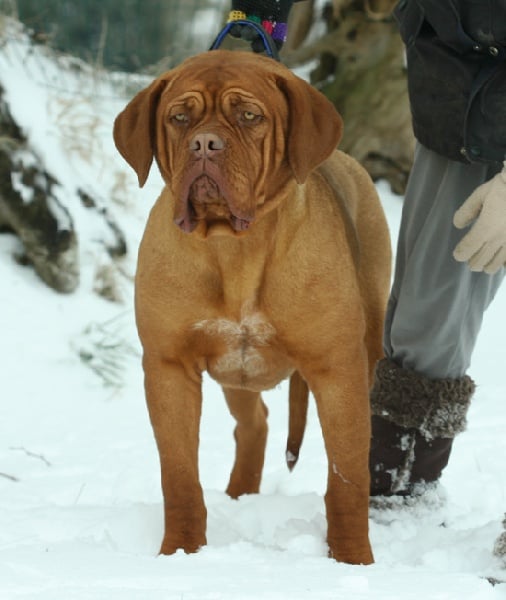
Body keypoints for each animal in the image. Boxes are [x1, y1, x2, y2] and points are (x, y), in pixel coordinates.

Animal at [114, 49, 392, 564]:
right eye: (179, 118)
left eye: (249, 116)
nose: (204, 144)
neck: (235, 246)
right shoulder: (169, 367)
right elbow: (179, 476)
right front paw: (181, 552)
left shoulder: (337, 369)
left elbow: (348, 478)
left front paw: (351, 559)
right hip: (235, 373)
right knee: (254, 424)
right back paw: (239, 495)